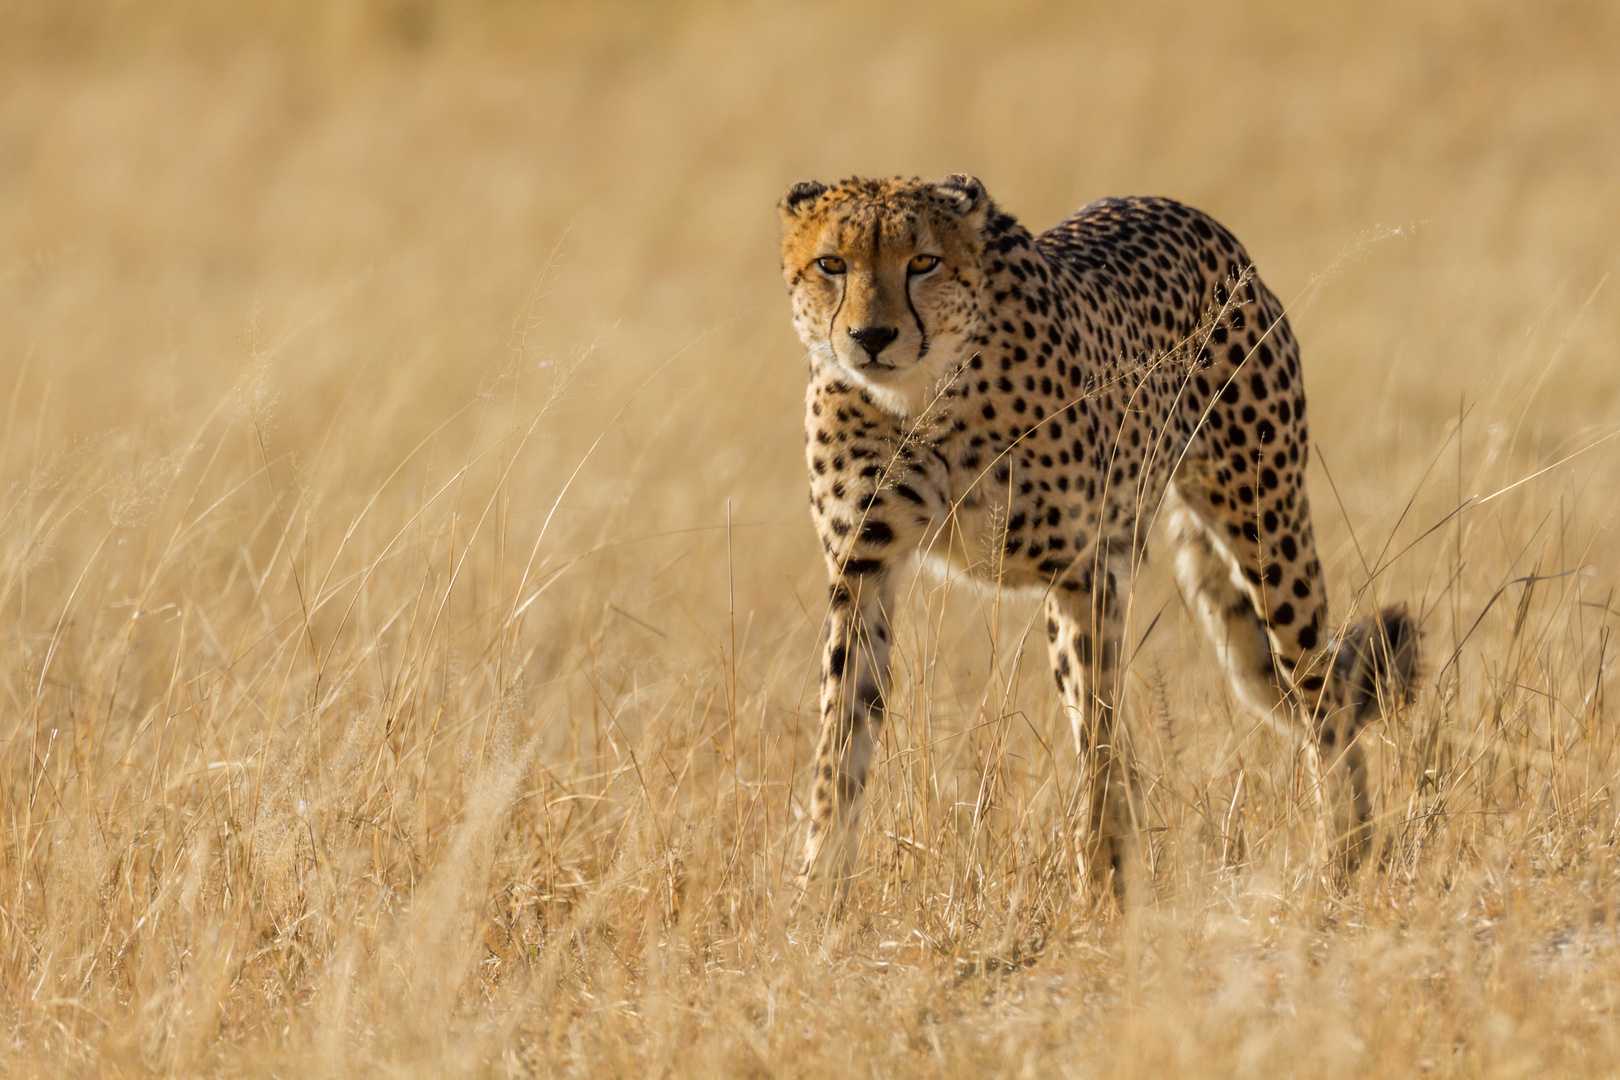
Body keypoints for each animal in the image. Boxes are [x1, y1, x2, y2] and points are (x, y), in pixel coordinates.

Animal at [777, 175, 1412, 893]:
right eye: (832, 264)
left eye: (923, 262)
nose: (872, 336)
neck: (923, 397)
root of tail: (1181, 210)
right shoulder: (864, 569)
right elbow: (841, 739)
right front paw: (818, 891)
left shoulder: (1082, 571)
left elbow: (1099, 735)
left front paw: (1106, 881)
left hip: (1266, 532)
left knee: (1323, 693)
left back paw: (1347, 853)